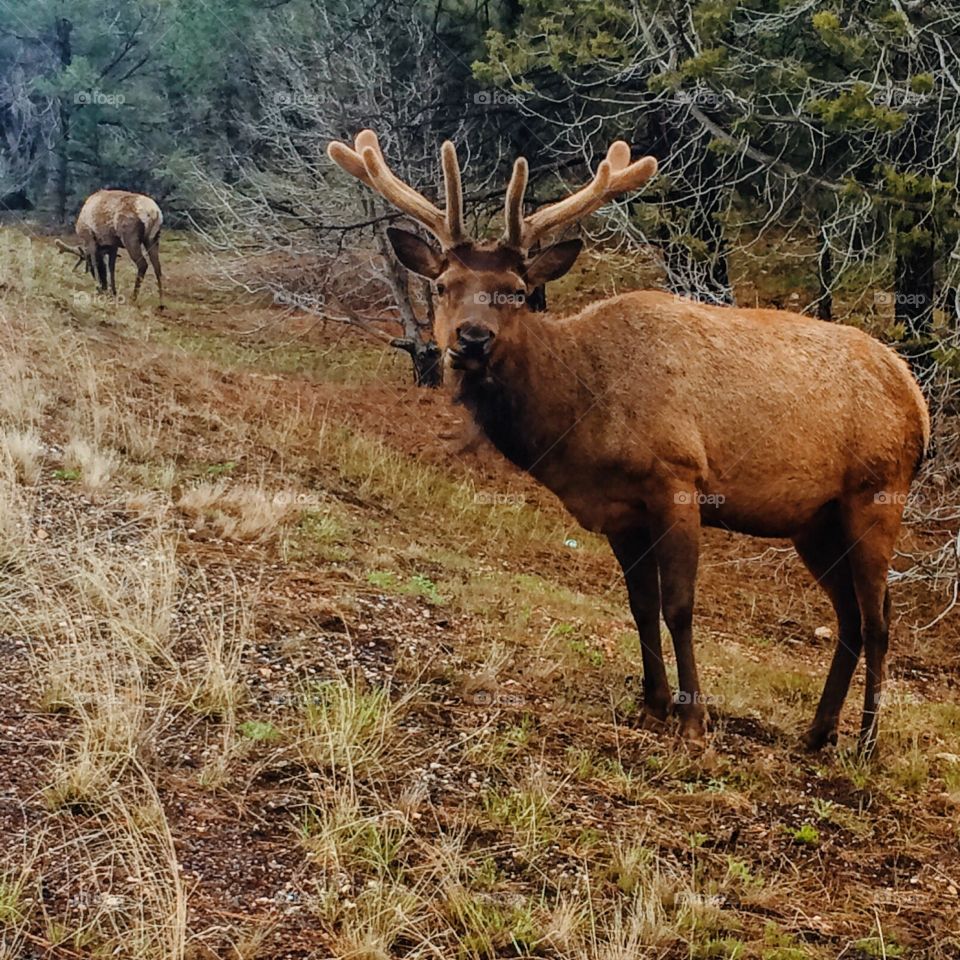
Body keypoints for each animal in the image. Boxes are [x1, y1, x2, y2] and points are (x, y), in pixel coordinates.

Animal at [327, 129, 930, 755]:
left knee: (879, 618)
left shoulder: (678, 477)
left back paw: (865, 742)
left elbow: (679, 606)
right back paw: (817, 731)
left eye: (516, 290)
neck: (581, 416)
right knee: (851, 615)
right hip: (814, 521)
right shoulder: (620, 511)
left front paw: (693, 720)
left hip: (877, 491)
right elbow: (640, 607)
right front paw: (652, 706)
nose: (471, 338)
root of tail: (917, 400)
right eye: (443, 285)